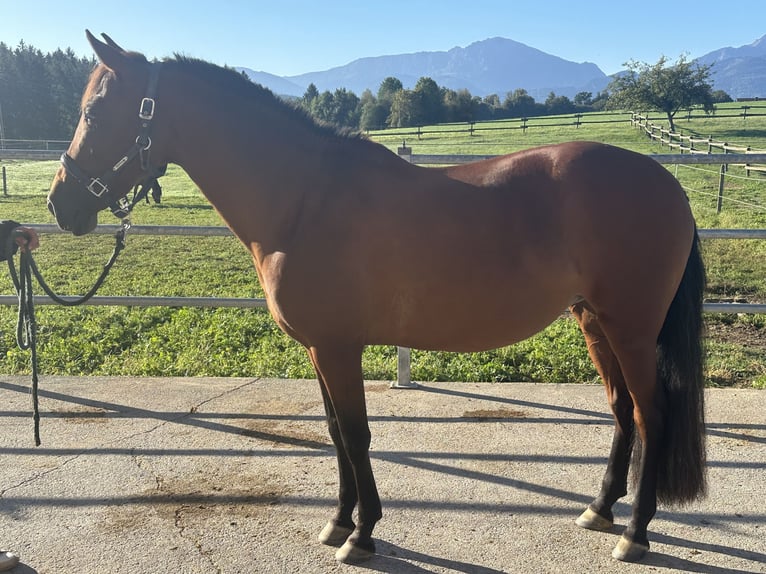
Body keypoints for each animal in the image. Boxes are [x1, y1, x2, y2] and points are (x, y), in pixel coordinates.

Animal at [47, 31, 707, 565]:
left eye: (97, 111)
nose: (60, 205)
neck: (303, 199)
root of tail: (666, 183)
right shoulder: (319, 348)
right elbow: (336, 432)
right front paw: (338, 523)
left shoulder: (340, 348)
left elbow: (358, 434)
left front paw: (362, 536)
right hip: (594, 321)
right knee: (622, 410)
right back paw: (600, 510)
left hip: (630, 329)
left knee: (651, 413)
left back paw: (636, 534)